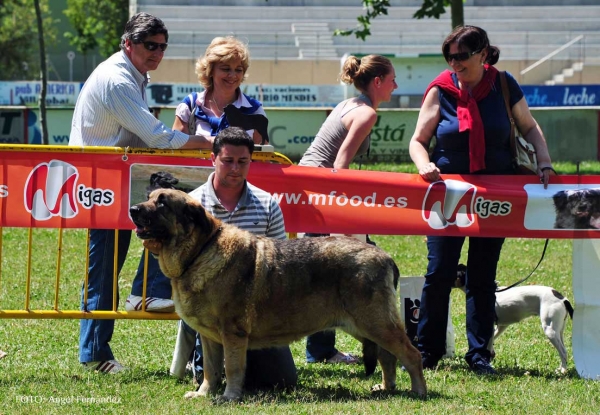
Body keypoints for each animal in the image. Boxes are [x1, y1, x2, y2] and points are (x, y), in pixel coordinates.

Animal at [130, 189, 426, 404]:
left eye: (162, 203)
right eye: (150, 197)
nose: (133, 209)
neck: (199, 251)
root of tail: (386, 256)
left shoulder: (232, 334)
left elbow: (232, 367)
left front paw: (229, 397)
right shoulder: (209, 337)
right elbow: (212, 370)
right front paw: (204, 393)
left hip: (375, 322)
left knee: (411, 354)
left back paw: (419, 391)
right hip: (365, 326)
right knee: (388, 356)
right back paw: (386, 388)